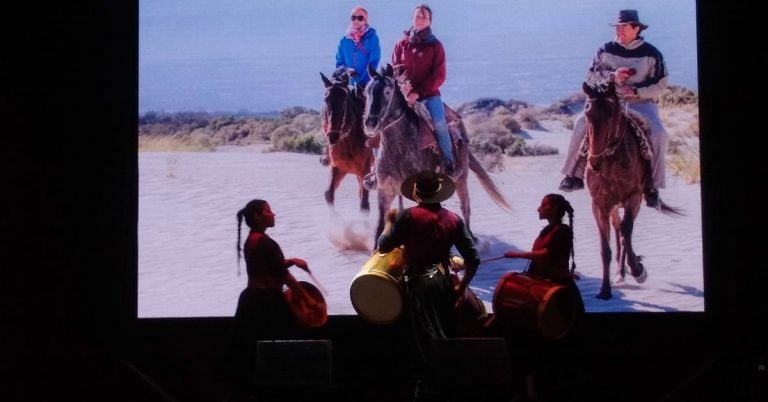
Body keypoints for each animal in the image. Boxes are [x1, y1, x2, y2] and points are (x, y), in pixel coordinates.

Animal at [320, 72, 376, 212]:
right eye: (326, 99)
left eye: (344, 100)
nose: (333, 136)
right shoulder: (338, 168)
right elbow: (328, 194)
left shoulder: (365, 170)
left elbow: (364, 205)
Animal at [364, 64, 512, 243]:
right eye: (366, 91)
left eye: (387, 91)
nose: (370, 123)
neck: (400, 149)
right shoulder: (385, 191)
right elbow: (379, 229)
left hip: (461, 179)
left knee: (465, 207)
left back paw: (469, 235)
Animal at [584, 81, 680, 298]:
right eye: (587, 112)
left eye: (612, 113)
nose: (594, 162)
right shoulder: (599, 205)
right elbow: (605, 248)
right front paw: (604, 289)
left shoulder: (633, 198)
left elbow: (626, 230)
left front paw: (638, 269)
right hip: (612, 206)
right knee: (618, 229)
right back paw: (619, 274)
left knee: (623, 231)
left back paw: (628, 270)